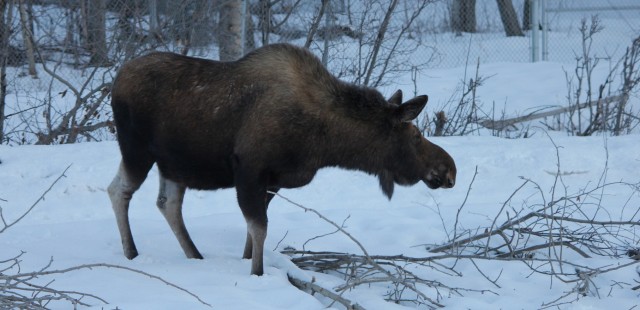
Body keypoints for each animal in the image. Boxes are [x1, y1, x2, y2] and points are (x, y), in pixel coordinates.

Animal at [107, 42, 456, 274]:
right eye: (416, 136)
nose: (449, 169)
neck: (326, 140)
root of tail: (116, 78)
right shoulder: (249, 170)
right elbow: (259, 227)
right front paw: (257, 274)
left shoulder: (272, 181)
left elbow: (252, 233)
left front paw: (249, 263)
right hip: (137, 150)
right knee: (118, 190)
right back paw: (131, 252)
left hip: (174, 164)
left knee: (168, 203)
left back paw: (194, 255)